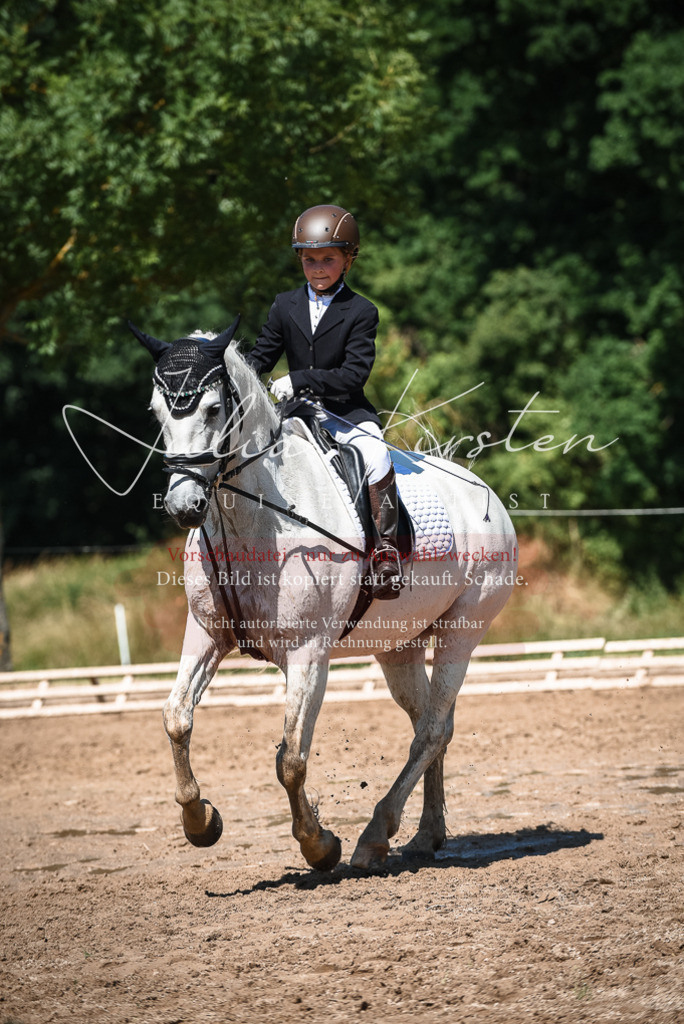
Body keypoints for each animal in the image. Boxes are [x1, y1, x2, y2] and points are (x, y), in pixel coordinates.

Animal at [131, 320, 517, 871]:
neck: (251, 519)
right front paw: (200, 822)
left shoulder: (308, 652)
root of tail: (486, 495)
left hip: (462, 632)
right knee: (431, 722)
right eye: (156, 412)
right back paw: (426, 834)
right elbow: (176, 718)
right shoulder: (206, 635)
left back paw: (375, 835)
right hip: (399, 644)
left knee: (432, 729)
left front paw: (318, 845)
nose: (185, 507)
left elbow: (291, 758)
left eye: (212, 409)